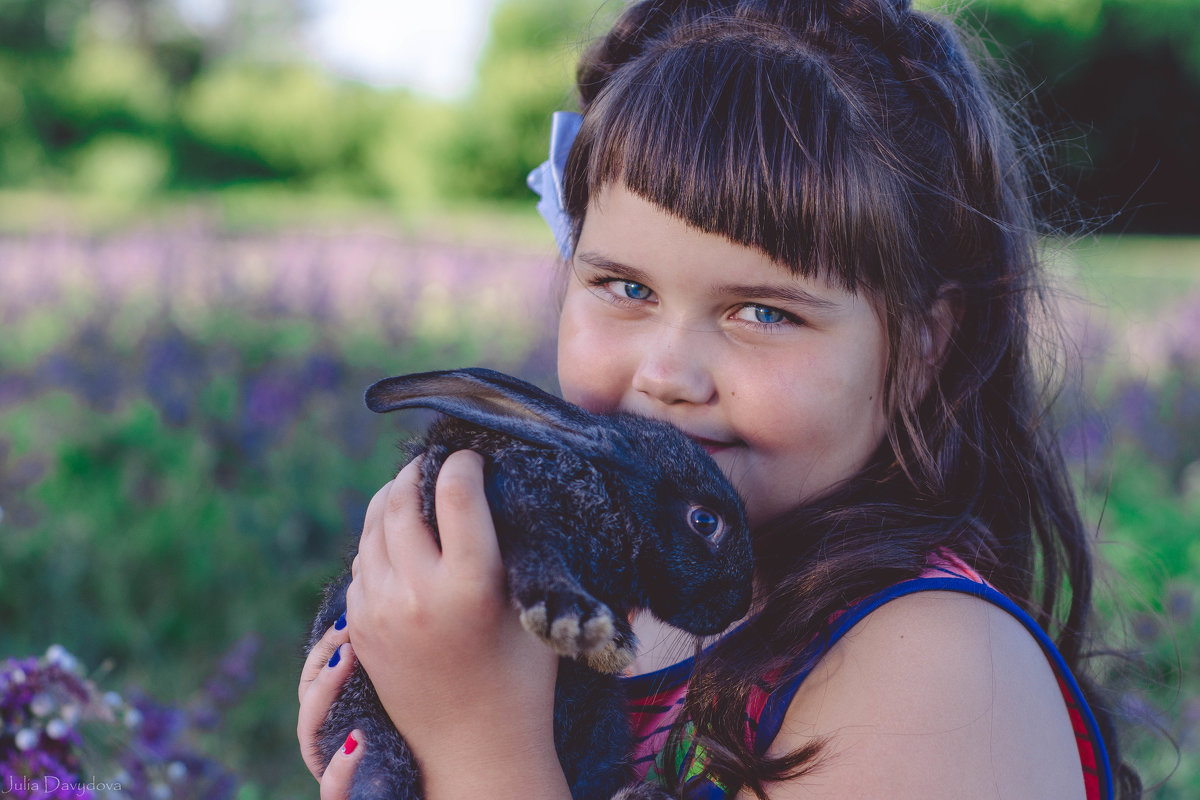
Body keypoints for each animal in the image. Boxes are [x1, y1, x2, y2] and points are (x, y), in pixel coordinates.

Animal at [309, 367, 748, 800]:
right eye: (705, 521)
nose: (738, 607)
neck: (611, 493)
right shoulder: (503, 493)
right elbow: (531, 543)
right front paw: (581, 625)